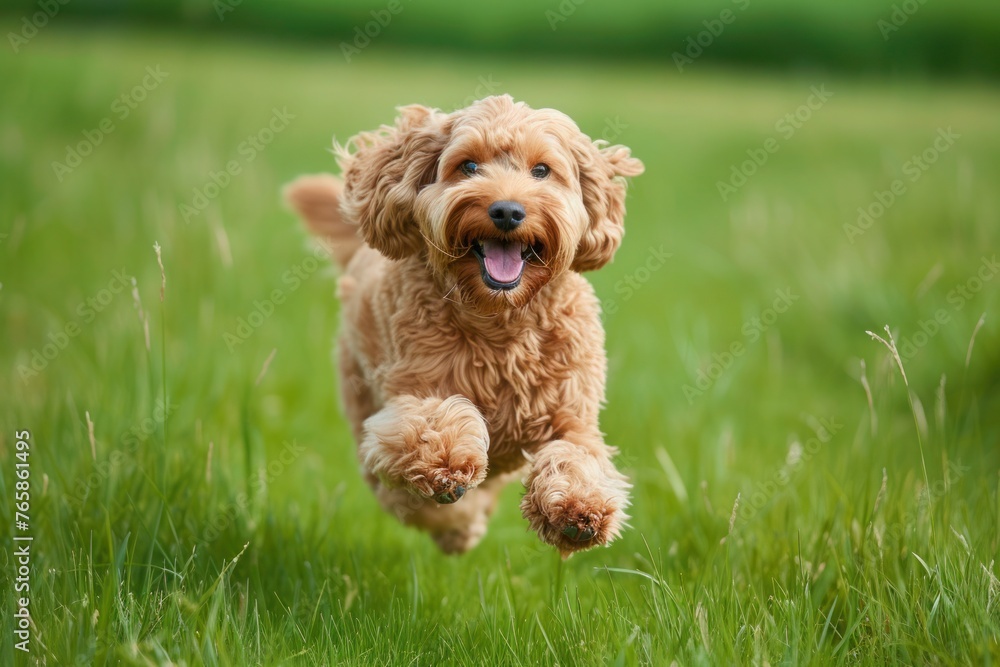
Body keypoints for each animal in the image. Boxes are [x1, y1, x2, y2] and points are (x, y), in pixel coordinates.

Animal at [288, 91, 648, 556]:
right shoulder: (412, 397)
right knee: (393, 489)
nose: (508, 211)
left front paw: (578, 508)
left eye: (542, 170)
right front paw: (447, 470)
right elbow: (429, 433)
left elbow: (577, 454)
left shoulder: (572, 412)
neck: (500, 319)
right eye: (468, 166)